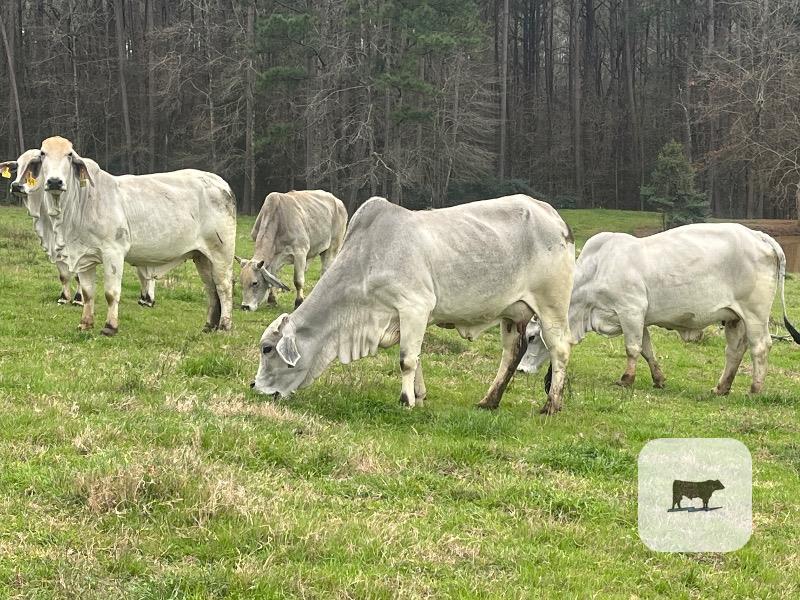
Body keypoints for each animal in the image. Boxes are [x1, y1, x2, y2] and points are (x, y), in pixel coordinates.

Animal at [2, 151, 157, 308]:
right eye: (17, 166)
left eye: (35, 166)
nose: (16, 185)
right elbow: (63, 275)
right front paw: (64, 298)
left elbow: (78, 277)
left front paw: (78, 299)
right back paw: (144, 298)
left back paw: (149, 299)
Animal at [251, 195, 575, 414]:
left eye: (267, 349)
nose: (255, 386)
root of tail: (553, 216)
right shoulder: (403, 318)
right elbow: (415, 357)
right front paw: (418, 395)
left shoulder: (415, 307)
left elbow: (406, 359)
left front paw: (406, 400)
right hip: (512, 313)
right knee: (511, 352)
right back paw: (489, 401)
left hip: (552, 306)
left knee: (560, 349)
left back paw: (551, 405)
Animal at [518, 223, 800, 395]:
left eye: (531, 337)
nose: (520, 369)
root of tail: (756, 234)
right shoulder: (639, 319)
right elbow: (646, 350)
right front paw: (659, 379)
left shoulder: (631, 311)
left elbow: (632, 348)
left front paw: (626, 379)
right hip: (734, 318)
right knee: (735, 351)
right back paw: (721, 388)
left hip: (755, 314)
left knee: (760, 346)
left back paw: (755, 388)